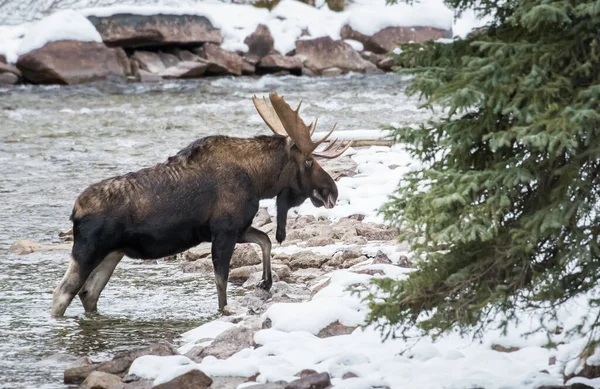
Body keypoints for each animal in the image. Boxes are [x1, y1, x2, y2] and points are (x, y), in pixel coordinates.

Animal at [52, 93, 352, 316]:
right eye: (309, 161)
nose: (333, 191)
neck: (258, 180)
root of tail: (75, 212)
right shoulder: (224, 231)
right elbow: (221, 283)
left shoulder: (238, 228)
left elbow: (265, 240)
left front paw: (266, 281)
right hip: (88, 250)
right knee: (61, 295)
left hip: (112, 253)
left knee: (88, 293)